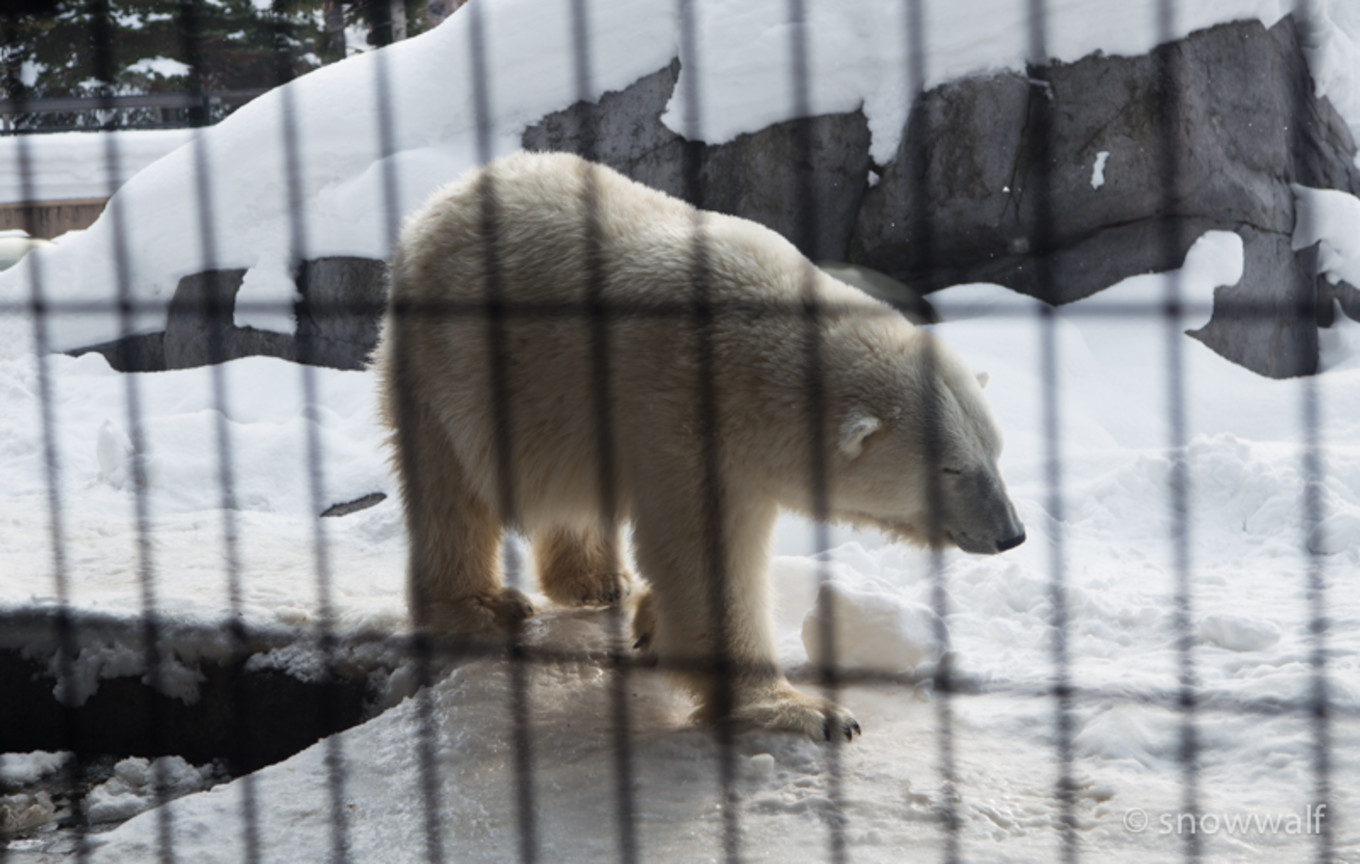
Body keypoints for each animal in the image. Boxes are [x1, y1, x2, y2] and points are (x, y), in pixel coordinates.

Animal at [372, 150, 1022, 745]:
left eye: (995, 450)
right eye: (953, 467)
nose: (1012, 533)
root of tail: (444, 199)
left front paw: (650, 626)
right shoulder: (681, 412)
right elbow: (706, 554)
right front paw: (807, 710)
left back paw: (596, 581)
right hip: (446, 367)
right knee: (449, 492)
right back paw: (480, 605)